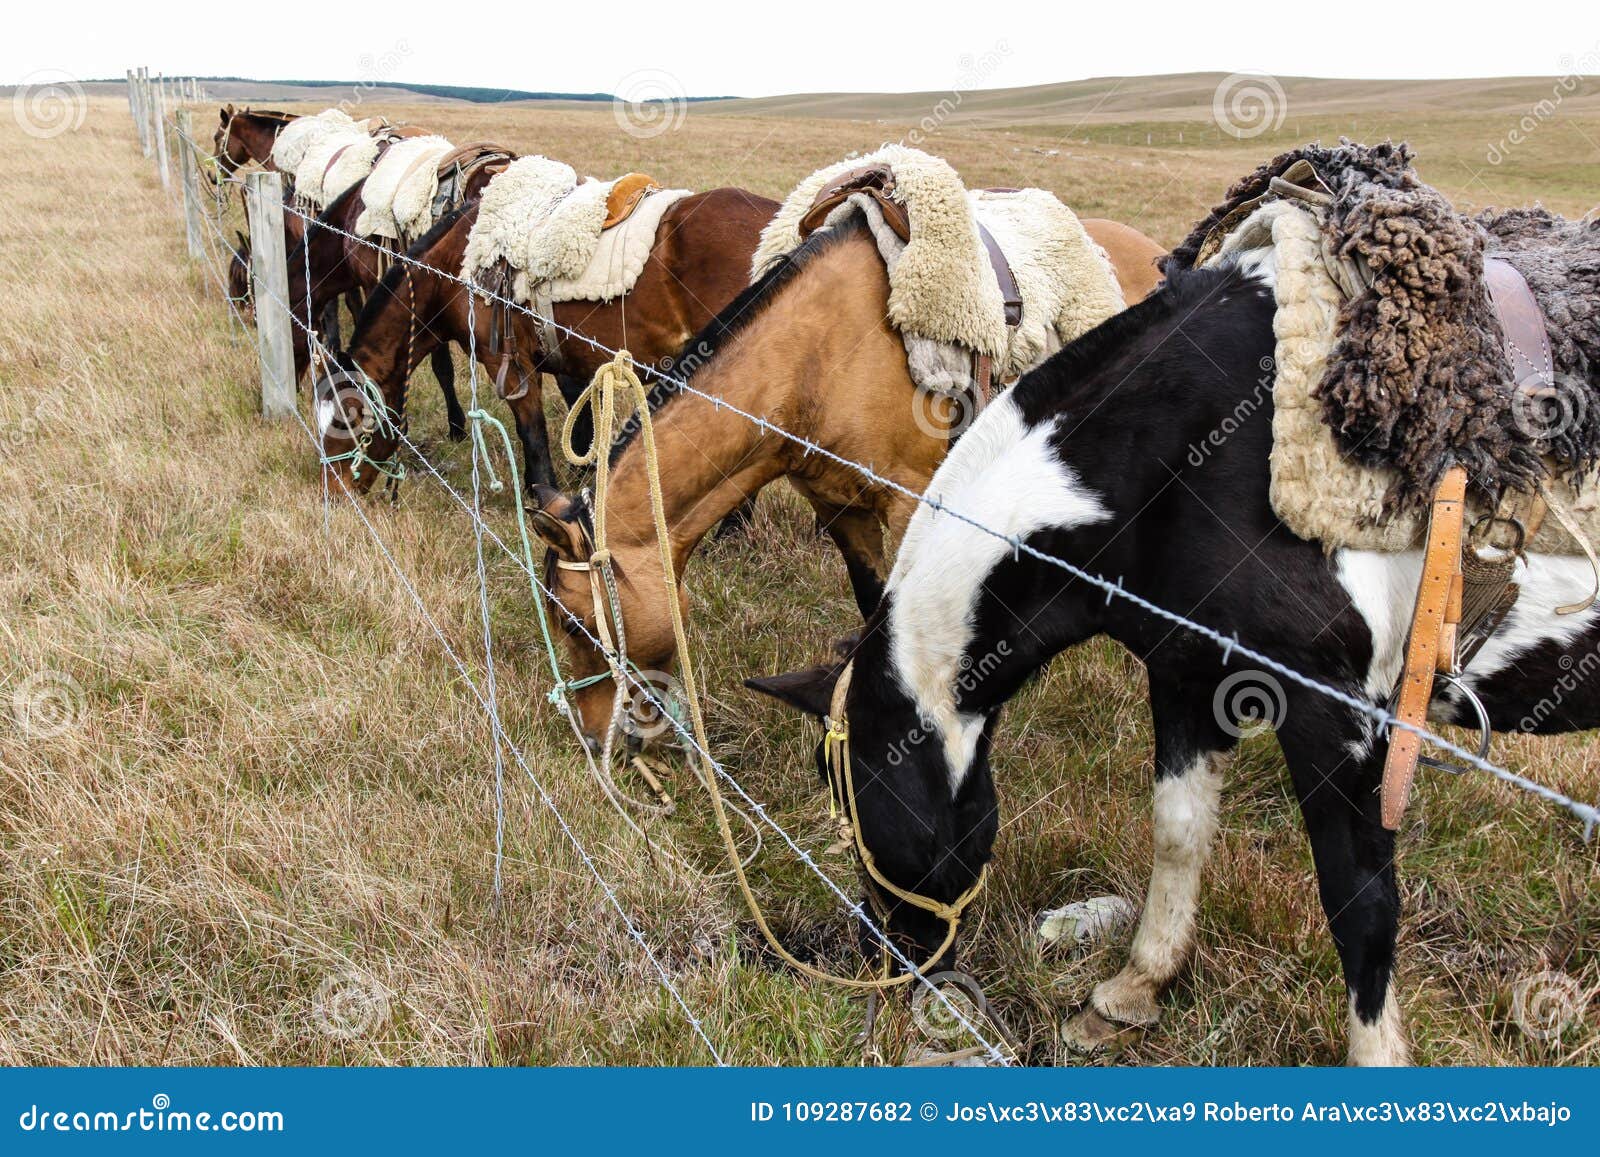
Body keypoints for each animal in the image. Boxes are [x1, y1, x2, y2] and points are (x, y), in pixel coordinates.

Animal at [312, 188, 780, 496]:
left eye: (346, 423)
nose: (333, 490)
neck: (456, 270)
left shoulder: (510, 366)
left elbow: (532, 433)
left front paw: (542, 493)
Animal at [531, 211, 1171, 742]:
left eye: (574, 622)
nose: (595, 735)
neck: (818, 359)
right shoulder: (836, 507)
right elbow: (870, 599)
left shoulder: (911, 505)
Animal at [745, 252, 1600, 1068]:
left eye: (859, 800)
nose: (890, 956)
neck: (1188, 455)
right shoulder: (1189, 674)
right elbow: (1180, 830)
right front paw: (1133, 990)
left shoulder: (1336, 713)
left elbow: (1359, 901)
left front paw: (1376, 1058)